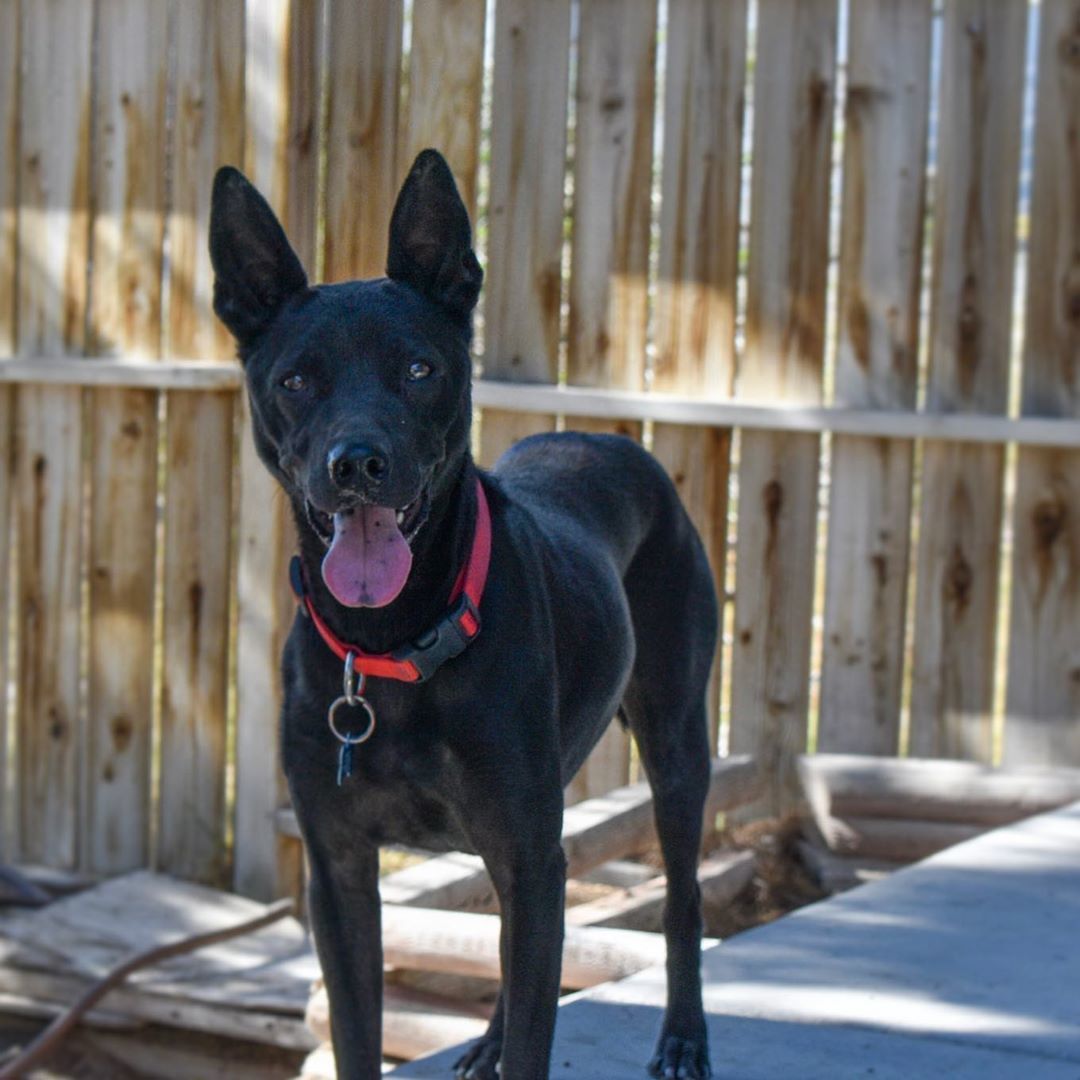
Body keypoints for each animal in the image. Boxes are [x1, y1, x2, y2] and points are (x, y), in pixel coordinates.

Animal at [208, 147, 717, 1075]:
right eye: (296, 380)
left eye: (419, 369)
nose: (358, 464)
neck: (393, 642)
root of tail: (607, 437)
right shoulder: (338, 872)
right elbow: (360, 1036)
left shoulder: (525, 846)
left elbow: (535, 1030)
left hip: (674, 737)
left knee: (681, 898)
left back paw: (683, 1039)